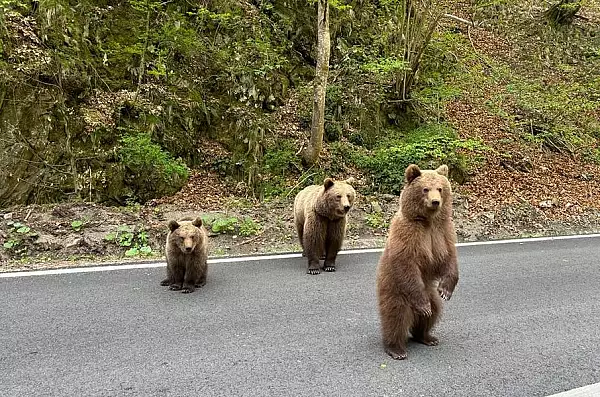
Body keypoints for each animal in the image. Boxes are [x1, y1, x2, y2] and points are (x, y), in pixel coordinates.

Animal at [376, 163, 460, 358]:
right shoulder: (408, 233)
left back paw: (427, 336)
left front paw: (446, 290)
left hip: (430, 292)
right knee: (396, 315)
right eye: (425, 189)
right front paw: (424, 306)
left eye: (440, 188)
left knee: (434, 311)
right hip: (395, 290)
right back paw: (396, 348)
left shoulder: (443, 232)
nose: (436, 201)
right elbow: (406, 262)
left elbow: (449, 258)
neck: (428, 221)